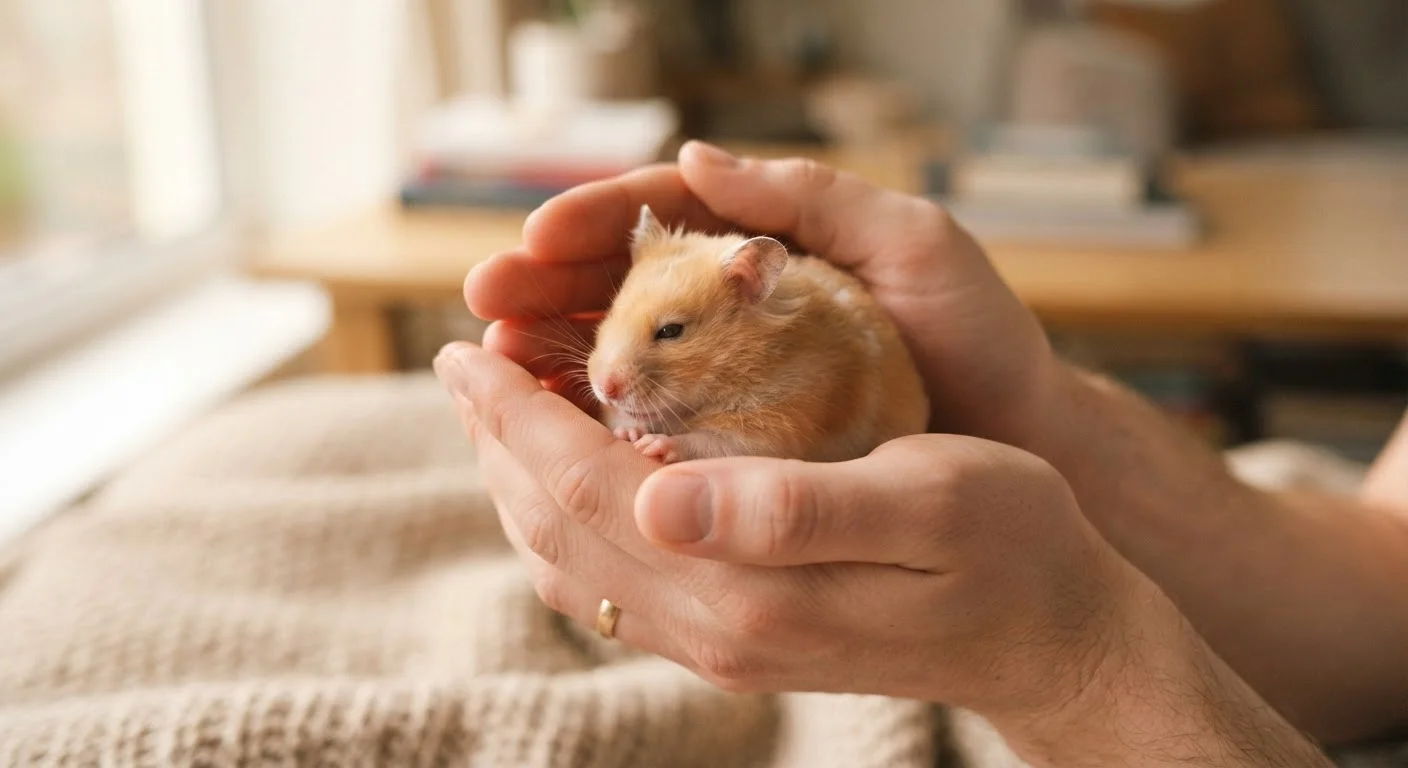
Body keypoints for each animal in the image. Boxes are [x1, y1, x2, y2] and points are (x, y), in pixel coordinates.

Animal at [586, 204, 930, 464]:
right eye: (612, 312)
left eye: (671, 331)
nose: (604, 388)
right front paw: (630, 432)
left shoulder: (776, 424)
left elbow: (711, 442)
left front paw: (653, 445)